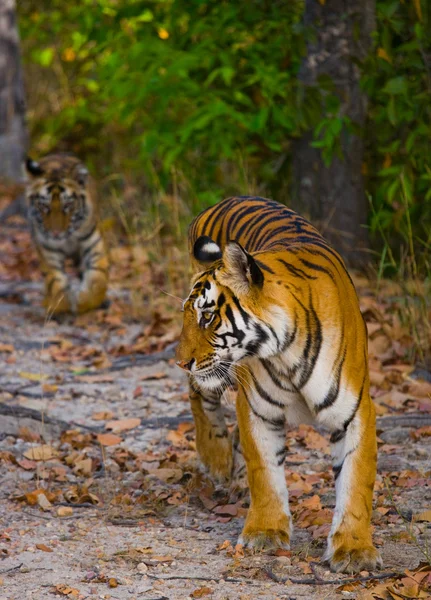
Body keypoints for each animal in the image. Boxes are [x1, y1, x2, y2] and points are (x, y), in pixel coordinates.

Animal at [26, 154, 109, 314]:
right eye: (44, 206)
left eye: (68, 205)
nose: (56, 233)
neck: (68, 238)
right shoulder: (48, 251)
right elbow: (55, 281)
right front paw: (61, 305)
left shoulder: (93, 244)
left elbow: (98, 278)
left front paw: (84, 302)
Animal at [177, 196, 384, 572]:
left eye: (207, 316)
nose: (180, 361)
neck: (286, 352)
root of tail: (228, 199)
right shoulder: (257, 409)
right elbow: (265, 472)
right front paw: (265, 532)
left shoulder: (355, 412)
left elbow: (356, 482)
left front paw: (354, 551)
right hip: (214, 379)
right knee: (200, 394)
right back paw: (217, 459)